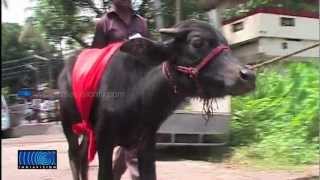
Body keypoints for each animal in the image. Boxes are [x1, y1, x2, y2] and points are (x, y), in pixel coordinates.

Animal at [58, 19, 256, 180]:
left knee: (84, 157)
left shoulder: (145, 141)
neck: (138, 97)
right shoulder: (103, 140)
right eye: (197, 42)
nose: (248, 75)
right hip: (68, 123)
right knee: (74, 156)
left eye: (226, 44)